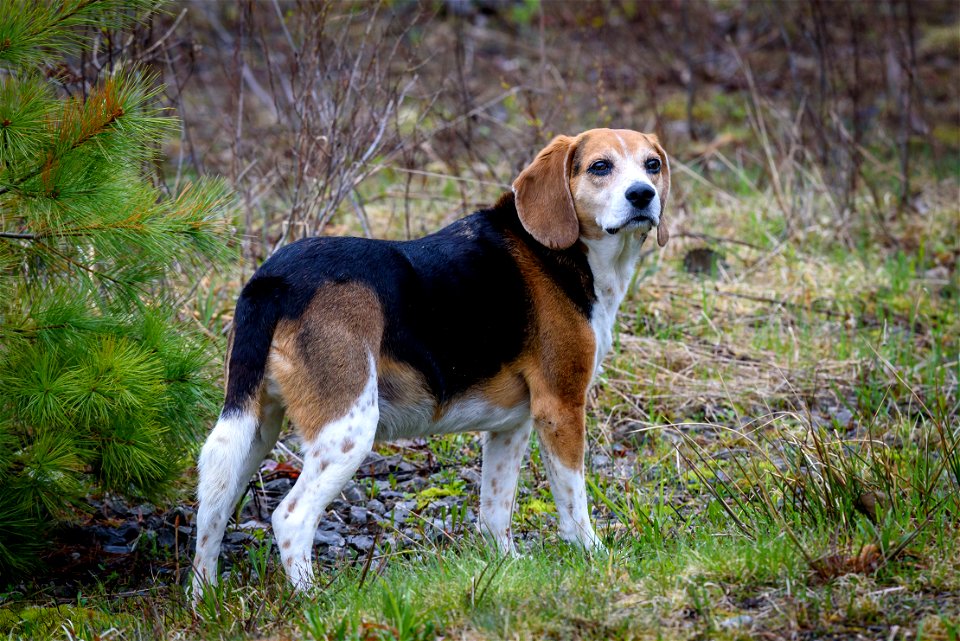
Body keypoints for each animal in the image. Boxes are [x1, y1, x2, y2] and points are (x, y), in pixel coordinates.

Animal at [191, 129, 672, 596]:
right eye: (600, 167)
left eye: (652, 164)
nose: (643, 194)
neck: (567, 254)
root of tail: (274, 278)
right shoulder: (561, 407)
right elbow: (574, 503)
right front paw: (594, 556)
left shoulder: (511, 426)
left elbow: (495, 512)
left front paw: (507, 567)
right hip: (347, 429)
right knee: (291, 517)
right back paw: (314, 600)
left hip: (254, 427)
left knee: (212, 507)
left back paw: (205, 599)